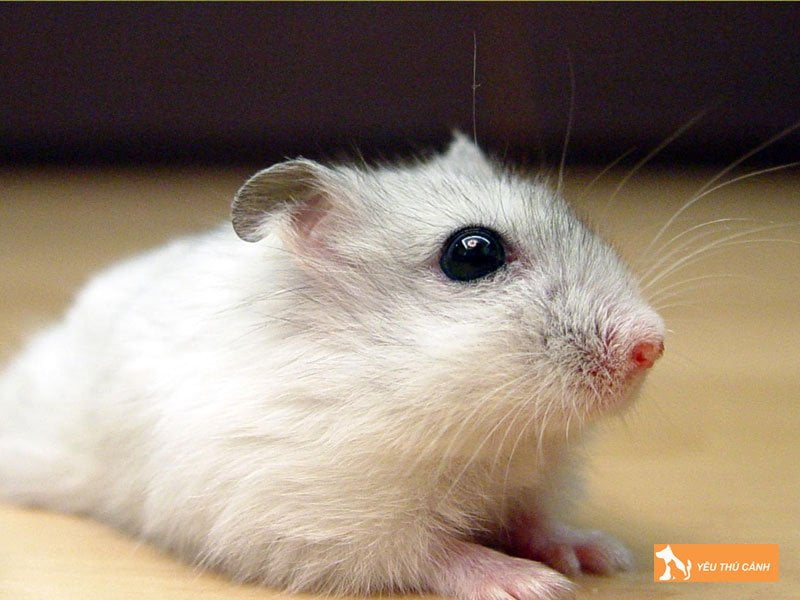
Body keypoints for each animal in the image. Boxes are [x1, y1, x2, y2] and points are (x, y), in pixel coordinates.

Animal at [0, 134, 664, 600]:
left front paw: (603, 556)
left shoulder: (532, 480)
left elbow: (536, 521)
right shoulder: (322, 520)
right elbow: (434, 552)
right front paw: (533, 584)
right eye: (472, 253)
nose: (653, 345)